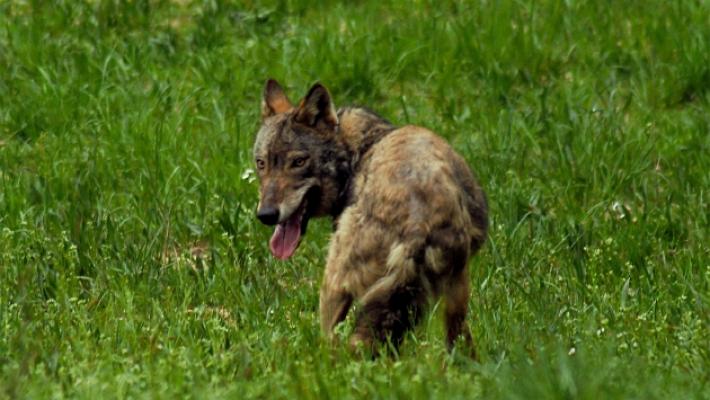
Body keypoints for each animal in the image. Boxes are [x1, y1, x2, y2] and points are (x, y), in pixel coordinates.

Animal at [253, 79, 488, 353]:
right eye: (261, 163)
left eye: (298, 162)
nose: (266, 215)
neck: (357, 149)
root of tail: (417, 224)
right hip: (453, 295)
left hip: (333, 284)